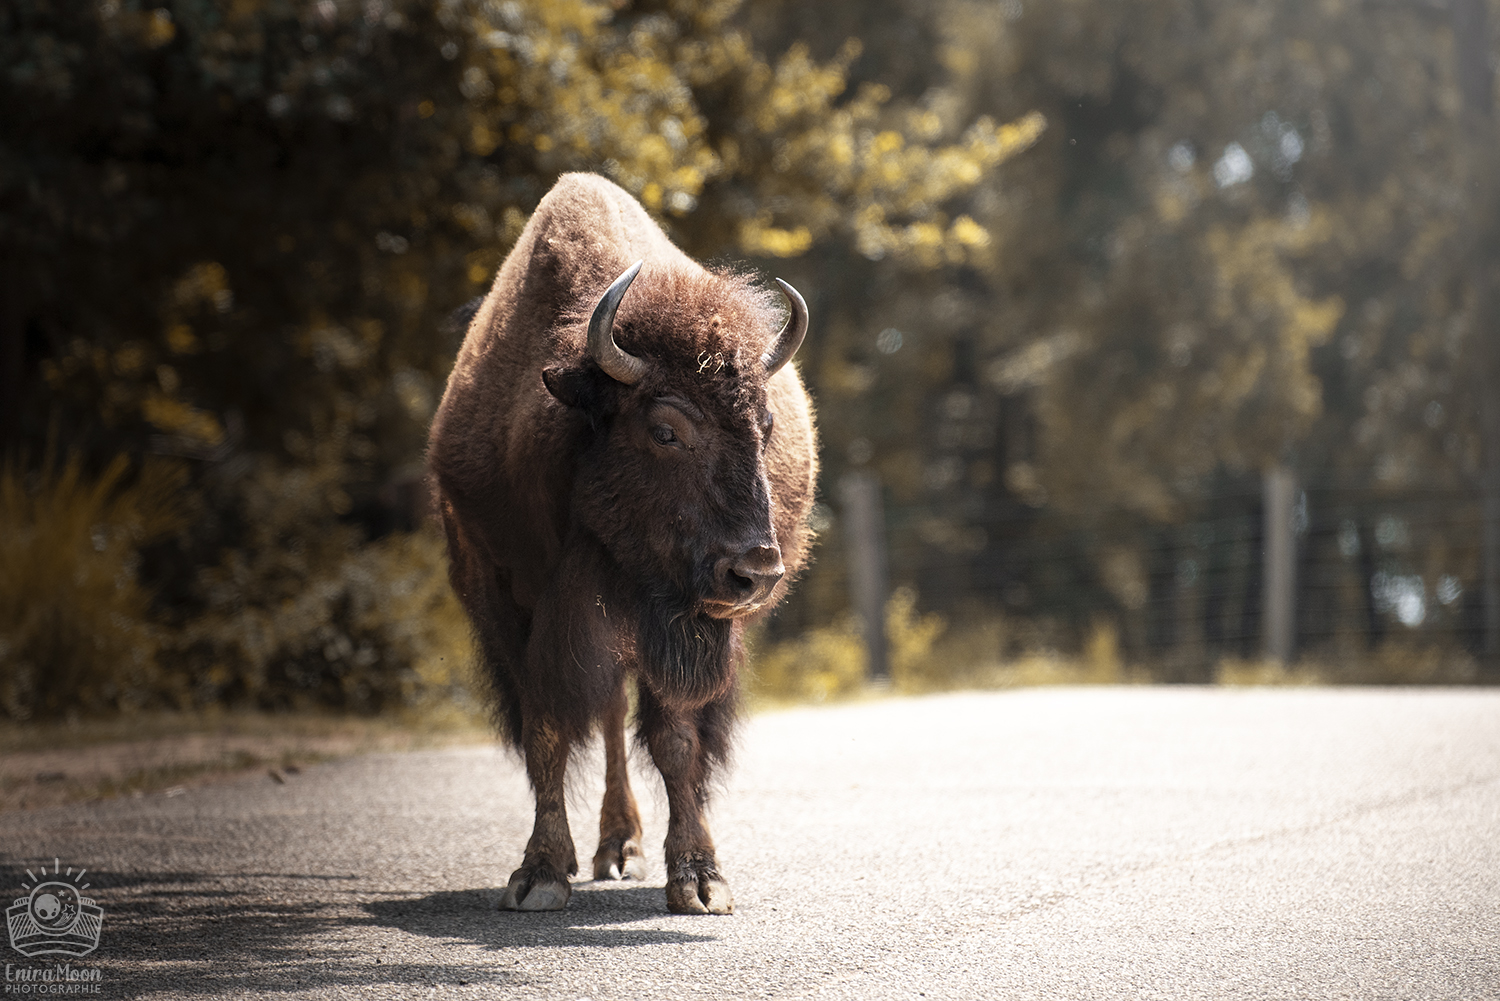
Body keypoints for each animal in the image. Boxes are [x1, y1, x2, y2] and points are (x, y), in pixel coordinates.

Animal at [429, 174, 816, 918]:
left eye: (766, 424)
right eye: (665, 430)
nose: (755, 571)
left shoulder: (683, 627)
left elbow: (676, 739)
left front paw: (699, 880)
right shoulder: (517, 609)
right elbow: (548, 730)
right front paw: (539, 875)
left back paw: (622, 848)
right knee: (605, 716)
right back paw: (610, 847)